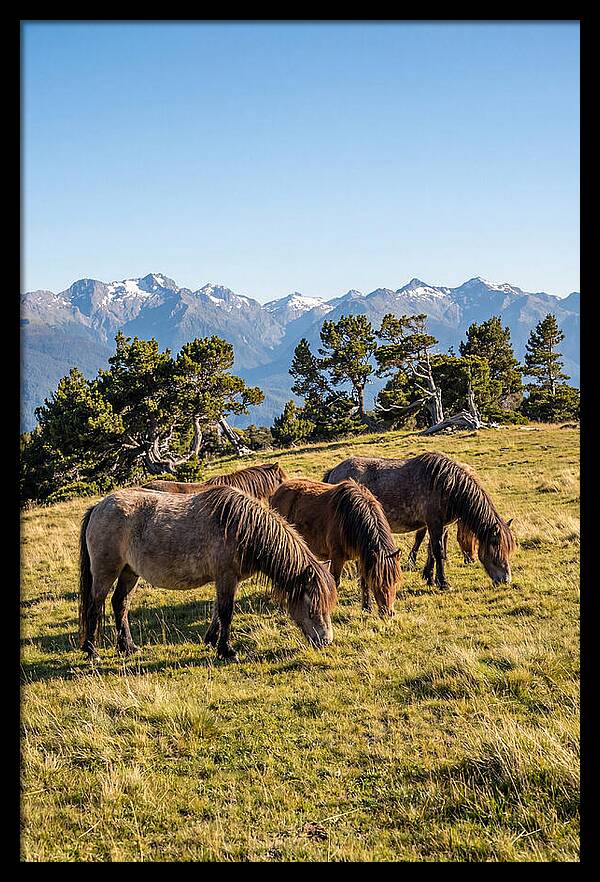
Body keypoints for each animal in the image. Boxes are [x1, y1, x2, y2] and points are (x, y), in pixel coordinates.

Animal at [79, 484, 337, 661]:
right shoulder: (226, 576)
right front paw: (227, 650)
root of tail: (98, 507)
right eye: (312, 607)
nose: (325, 641)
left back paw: (128, 647)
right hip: (106, 571)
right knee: (95, 605)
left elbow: (217, 611)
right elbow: (226, 612)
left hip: (129, 572)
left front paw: (212, 641)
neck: (241, 528)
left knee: (120, 604)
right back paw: (92, 651)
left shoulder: (227, 579)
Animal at [270, 478, 401, 616]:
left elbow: (364, 582)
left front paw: (367, 608)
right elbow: (335, 581)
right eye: (378, 581)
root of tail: (278, 491)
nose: (389, 613)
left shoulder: (363, 557)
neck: (350, 518)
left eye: (395, 581)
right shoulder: (337, 556)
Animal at [323, 452, 515, 589]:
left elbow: (432, 550)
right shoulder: (434, 523)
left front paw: (429, 578)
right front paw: (443, 583)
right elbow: (437, 551)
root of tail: (334, 471)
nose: (506, 579)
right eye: (495, 545)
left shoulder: (441, 526)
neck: (447, 485)